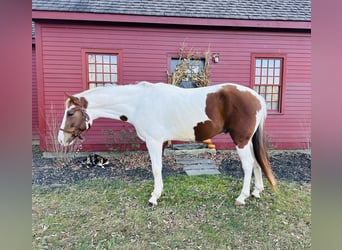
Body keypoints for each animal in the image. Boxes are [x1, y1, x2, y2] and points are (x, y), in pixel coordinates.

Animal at [58, 81, 278, 206]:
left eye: (70, 113)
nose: (61, 139)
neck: (139, 102)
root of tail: (257, 97)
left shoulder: (154, 142)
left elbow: (156, 169)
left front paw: (154, 197)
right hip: (247, 141)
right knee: (257, 162)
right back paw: (256, 192)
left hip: (240, 140)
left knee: (248, 164)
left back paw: (242, 197)